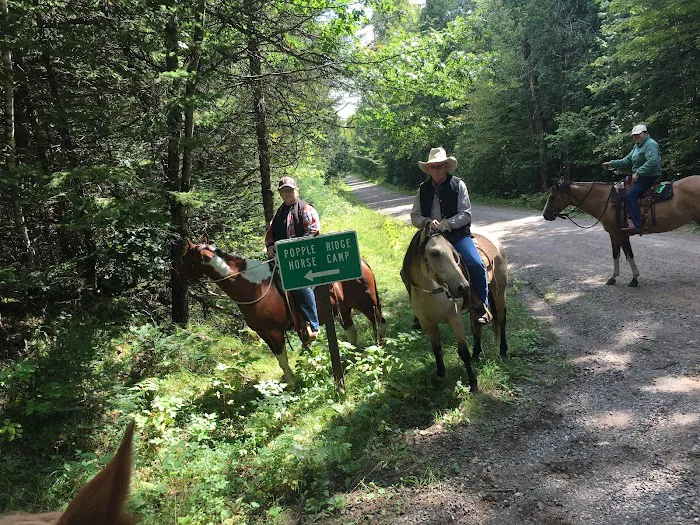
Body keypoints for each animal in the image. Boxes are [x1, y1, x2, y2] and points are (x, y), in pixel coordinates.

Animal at [181, 240, 388, 386]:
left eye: (185, 258)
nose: (181, 279)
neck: (253, 287)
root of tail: (363, 262)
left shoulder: (275, 331)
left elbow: (283, 358)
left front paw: (292, 384)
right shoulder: (264, 333)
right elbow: (280, 360)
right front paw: (289, 383)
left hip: (366, 304)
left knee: (379, 323)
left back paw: (380, 350)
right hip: (344, 310)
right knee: (352, 332)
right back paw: (353, 357)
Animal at [543, 177, 700, 286]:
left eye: (553, 197)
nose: (545, 215)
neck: (606, 201)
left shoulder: (620, 234)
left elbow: (628, 254)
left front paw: (634, 279)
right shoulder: (615, 234)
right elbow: (617, 254)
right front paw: (613, 278)